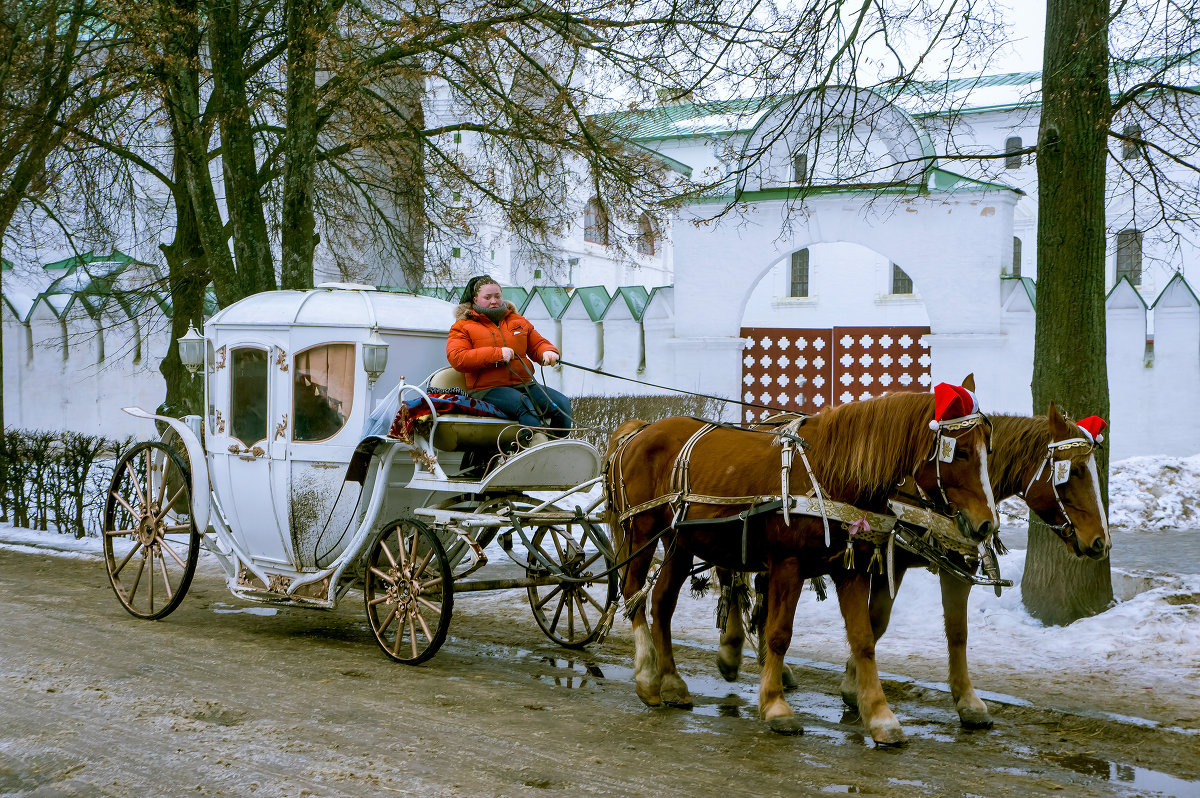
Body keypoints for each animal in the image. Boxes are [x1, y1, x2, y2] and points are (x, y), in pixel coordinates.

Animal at [604, 384, 998, 744]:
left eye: (988, 451)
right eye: (961, 452)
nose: (986, 524)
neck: (833, 473)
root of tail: (639, 431)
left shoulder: (850, 570)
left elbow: (864, 640)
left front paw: (881, 716)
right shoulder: (787, 566)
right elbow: (779, 634)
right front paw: (776, 706)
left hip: (679, 543)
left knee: (662, 603)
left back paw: (672, 682)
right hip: (642, 533)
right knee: (632, 591)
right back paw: (647, 677)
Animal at [710, 405, 1113, 729]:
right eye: (1076, 471)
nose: (1101, 543)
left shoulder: (953, 565)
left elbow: (957, 632)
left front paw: (967, 700)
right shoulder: (894, 560)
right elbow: (876, 623)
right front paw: (854, 687)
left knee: (761, 592)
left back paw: (772, 664)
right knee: (732, 576)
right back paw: (731, 652)